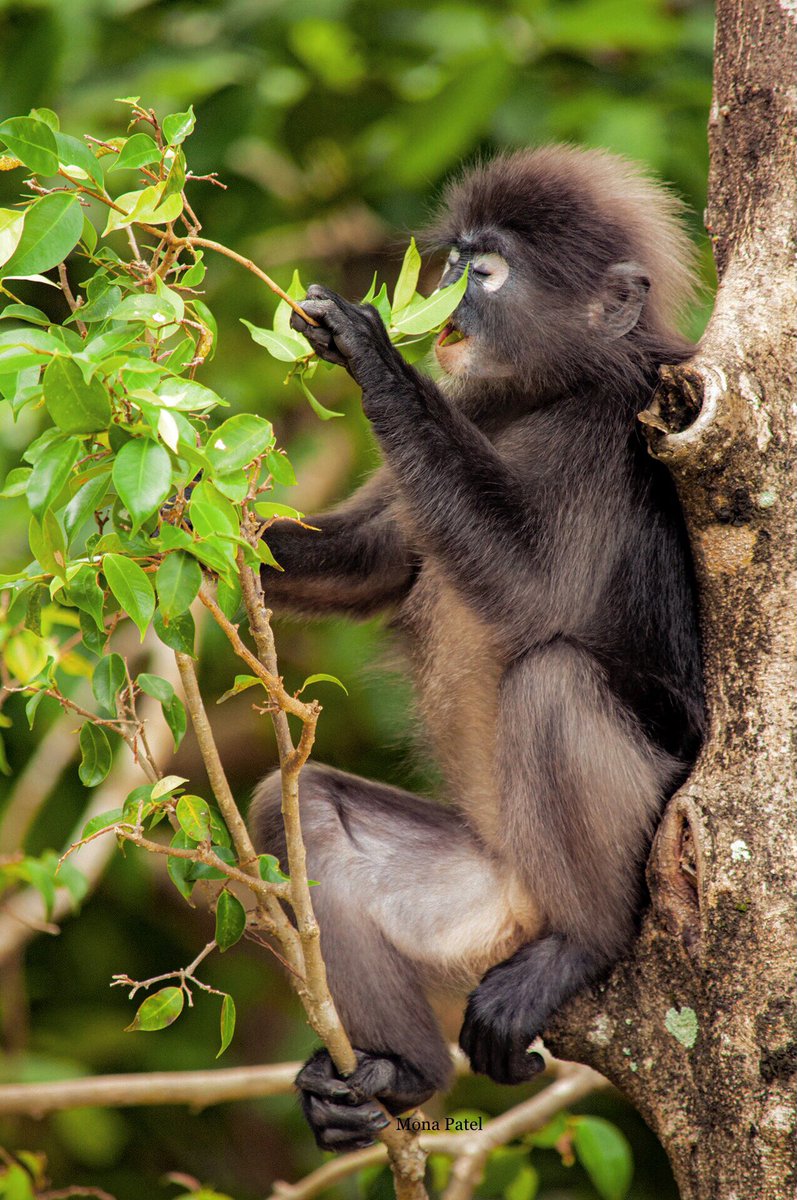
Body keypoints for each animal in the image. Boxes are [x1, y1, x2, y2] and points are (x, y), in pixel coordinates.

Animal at [249, 146, 705, 1152]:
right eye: (451, 261)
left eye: (484, 271)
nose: (441, 297)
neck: (549, 394)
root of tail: (523, 900)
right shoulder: (484, 410)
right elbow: (378, 564)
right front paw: (156, 527)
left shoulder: (611, 430)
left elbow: (531, 593)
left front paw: (371, 357)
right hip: (471, 894)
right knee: (298, 810)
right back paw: (393, 1075)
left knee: (554, 676)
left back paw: (580, 943)